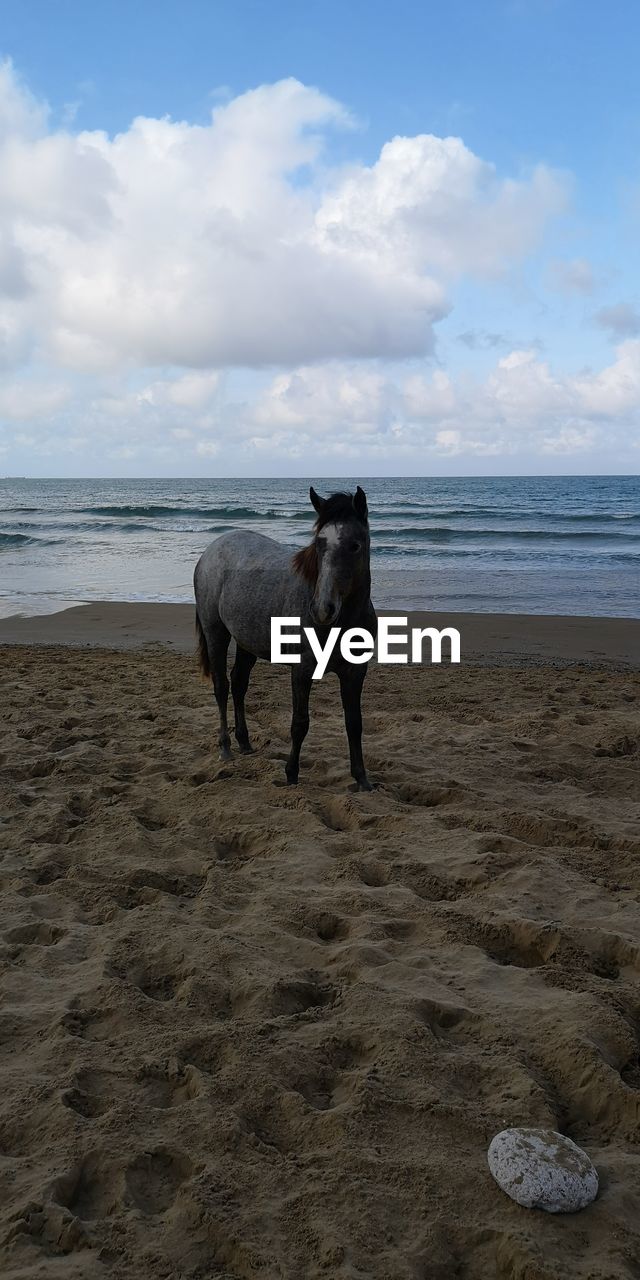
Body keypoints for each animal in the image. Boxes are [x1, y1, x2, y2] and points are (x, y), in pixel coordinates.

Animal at [192, 486, 376, 788]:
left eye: (355, 545)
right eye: (319, 544)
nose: (322, 609)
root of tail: (213, 549)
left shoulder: (355, 672)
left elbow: (354, 723)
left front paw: (362, 779)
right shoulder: (301, 671)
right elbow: (300, 723)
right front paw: (291, 774)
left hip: (246, 642)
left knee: (238, 684)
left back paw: (244, 743)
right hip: (215, 633)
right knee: (221, 687)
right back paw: (226, 748)